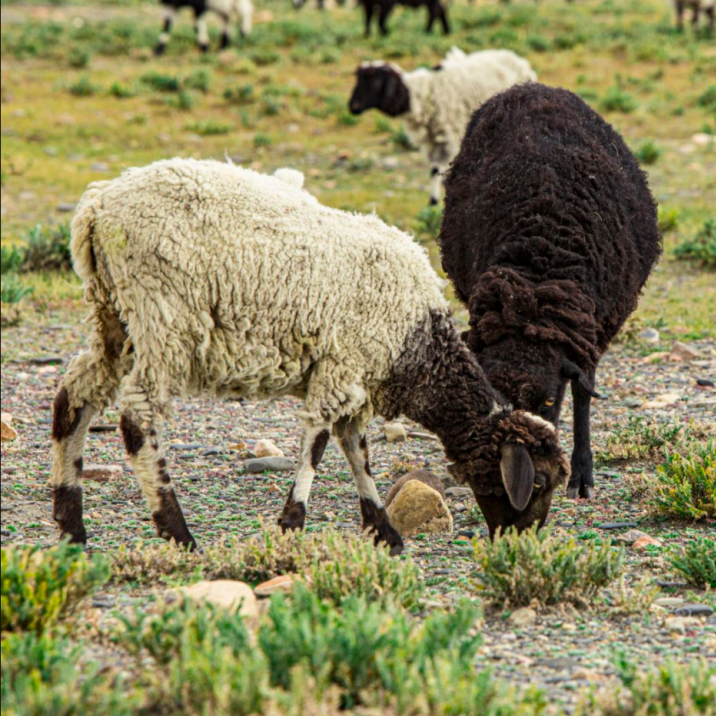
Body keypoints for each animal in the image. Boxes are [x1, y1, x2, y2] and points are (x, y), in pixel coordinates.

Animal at [50, 158, 572, 552]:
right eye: (538, 483)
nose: (521, 542)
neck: (418, 343)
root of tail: (97, 205)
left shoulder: (355, 378)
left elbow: (356, 450)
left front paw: (384, 531)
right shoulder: (341, 368)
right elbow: (319, 444)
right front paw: (292, 524)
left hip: (113, 316)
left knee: (74, 397)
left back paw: (71, 524)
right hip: (162, 314)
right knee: (137, 415)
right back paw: (177, 531)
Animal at [346, 47, 536, 204]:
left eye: (375, 82)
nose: (352, 107)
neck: (421, 94)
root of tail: (516, 57)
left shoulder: (450, 135)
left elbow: (440, 170)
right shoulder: (432, 140)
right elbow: (433, 170)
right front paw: (433, 200)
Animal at [440, 82, 664, 504]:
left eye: (548, 401)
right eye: (499, 403)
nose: (525, 459)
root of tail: (531, 86)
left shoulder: (591, 332)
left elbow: (582, 394)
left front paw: (582, 474)